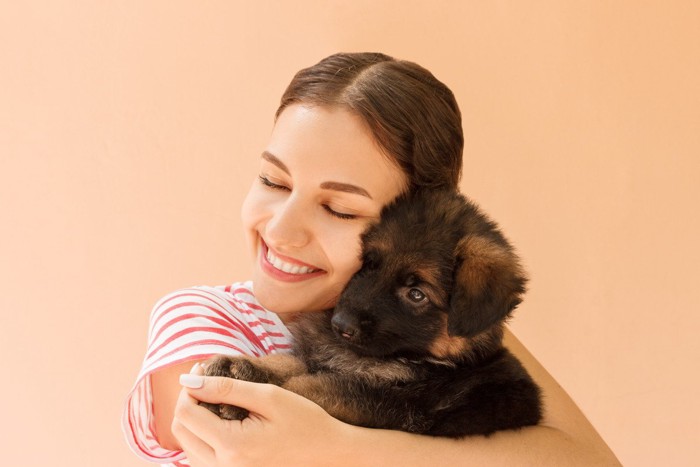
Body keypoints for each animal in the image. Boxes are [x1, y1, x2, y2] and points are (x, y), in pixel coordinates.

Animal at [202, 188, 540, 436]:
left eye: (416, 294)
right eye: (368, 264)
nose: (341, 324)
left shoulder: (386, 403)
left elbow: (299, 389)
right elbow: (290, 364)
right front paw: (244, 367)